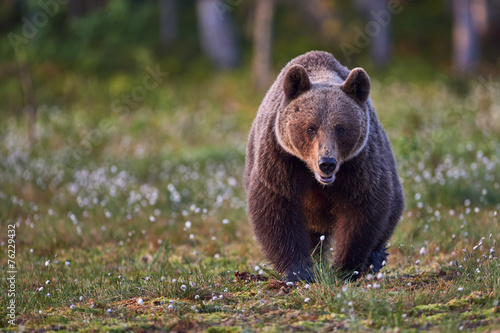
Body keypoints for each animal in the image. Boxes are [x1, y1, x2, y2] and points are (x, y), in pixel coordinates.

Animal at [244, 51, 404, 280]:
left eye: (340, 128)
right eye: (311, 128)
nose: (326, 163)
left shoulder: (359, 165)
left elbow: (362, 211)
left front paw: (345, 268)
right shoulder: (280, 158)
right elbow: (277, 208)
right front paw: (298, 271)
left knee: (391, 211)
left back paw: (375, 258)